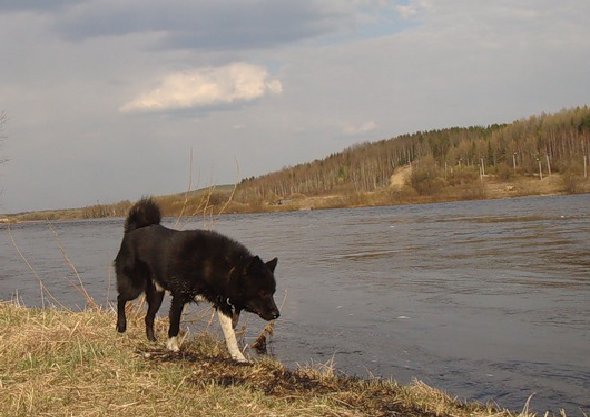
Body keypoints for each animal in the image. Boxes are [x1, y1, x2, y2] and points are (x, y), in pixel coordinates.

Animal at [117, 197, 282, 360]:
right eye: (262, 292)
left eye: (273, 292)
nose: (277, 314)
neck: (227, 268)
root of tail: (133, 230)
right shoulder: (179, 298)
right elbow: (174, 326)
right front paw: (173, 347)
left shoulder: (223, 306)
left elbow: (230, 335)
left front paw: (238, 356)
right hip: (134, 287)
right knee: (121, 299)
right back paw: (121, 326)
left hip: (156, 295)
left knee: (148, 317)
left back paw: (152, 341)